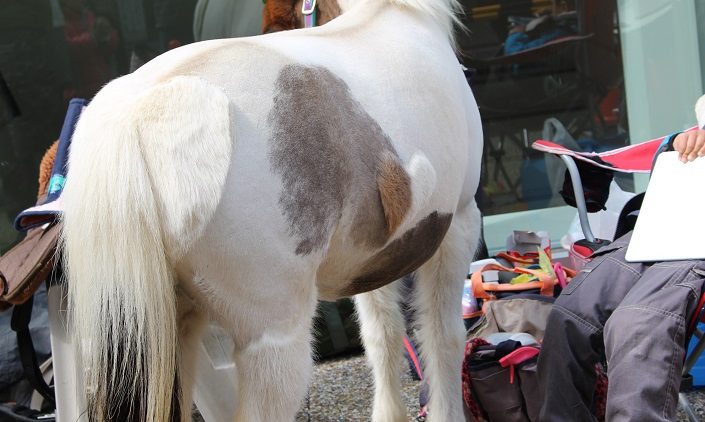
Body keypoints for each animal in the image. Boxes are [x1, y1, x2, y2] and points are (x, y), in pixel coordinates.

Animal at [60, 0, 484, 418]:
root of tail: (140, 111)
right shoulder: (458, 225)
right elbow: (443, 336)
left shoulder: (371, 257)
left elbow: (381, 335)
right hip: (274, 341)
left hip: (168, 337)